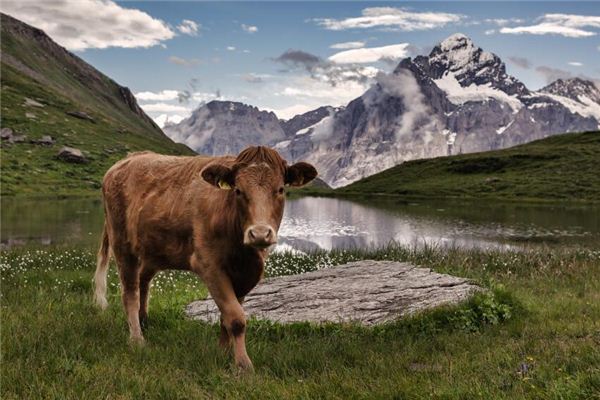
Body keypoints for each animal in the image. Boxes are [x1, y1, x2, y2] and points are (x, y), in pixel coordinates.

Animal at [92, 147, 318, 372]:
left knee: (143, 281)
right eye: (238, 191)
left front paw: (223, 353)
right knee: (130, 292)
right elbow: (236, 317)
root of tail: (129, 159)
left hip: (151, 249)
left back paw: (144, 321)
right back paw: (137, 339)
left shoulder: (245, 275)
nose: (260, 234)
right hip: (122, 244)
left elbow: (227, 316)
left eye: (280, 190)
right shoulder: (210, 266)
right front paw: (243, 365)